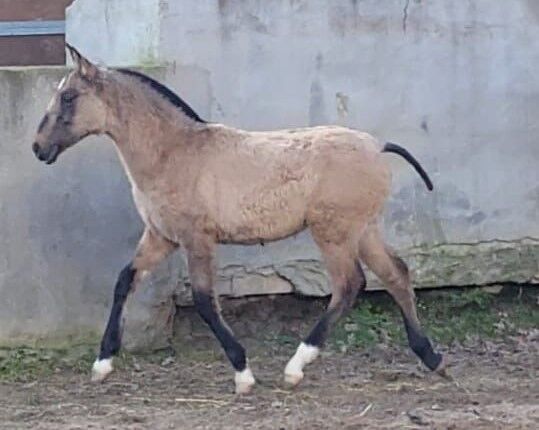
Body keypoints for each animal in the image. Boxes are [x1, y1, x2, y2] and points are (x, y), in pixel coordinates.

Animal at [33, 45, 446, 394]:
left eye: (68, 97)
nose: (39, 148)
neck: (174, 152)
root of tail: (378, 146)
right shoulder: (161, 236)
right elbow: (124, 281)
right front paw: (102, 363)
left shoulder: (196, 239)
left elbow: (204, 300)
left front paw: (243, 373)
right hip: (363, 230)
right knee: (395, 274)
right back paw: (431, 357)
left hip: (335, 233)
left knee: (349, 285)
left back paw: (296, 367)